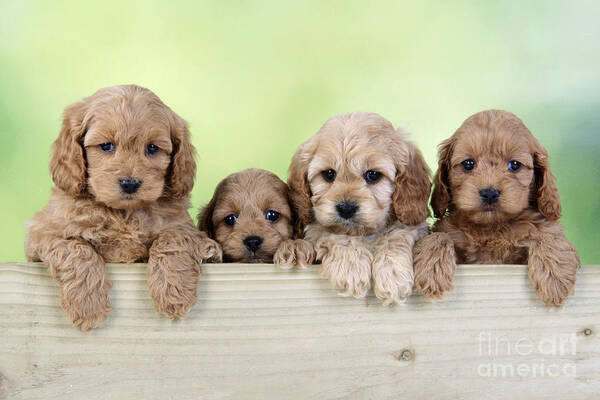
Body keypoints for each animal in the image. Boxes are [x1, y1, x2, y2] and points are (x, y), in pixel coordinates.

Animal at [25, 84, 221, 332]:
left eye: (152, 148)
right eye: (106, 146)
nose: (130, 183)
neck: (124, 214)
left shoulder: (181, 225)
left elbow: (172, 239)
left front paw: (173, 292)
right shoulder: (42, 231)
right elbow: (76, 248)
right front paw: (88, 305)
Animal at [276, 111, 432, 304]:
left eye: (373, 175)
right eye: (329, 174)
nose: (346, 209)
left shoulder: (412, 223)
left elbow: (397, 234)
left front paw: (393, 273)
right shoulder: (319, 228)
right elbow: (340, 236)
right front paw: (351, 267)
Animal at [414, 108, 580, 304]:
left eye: (514, 165)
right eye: (468, 164)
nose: (489, 193)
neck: (492, 227)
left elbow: (548, 237)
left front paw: (554, 279)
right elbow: (439, 236)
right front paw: (431, 269)